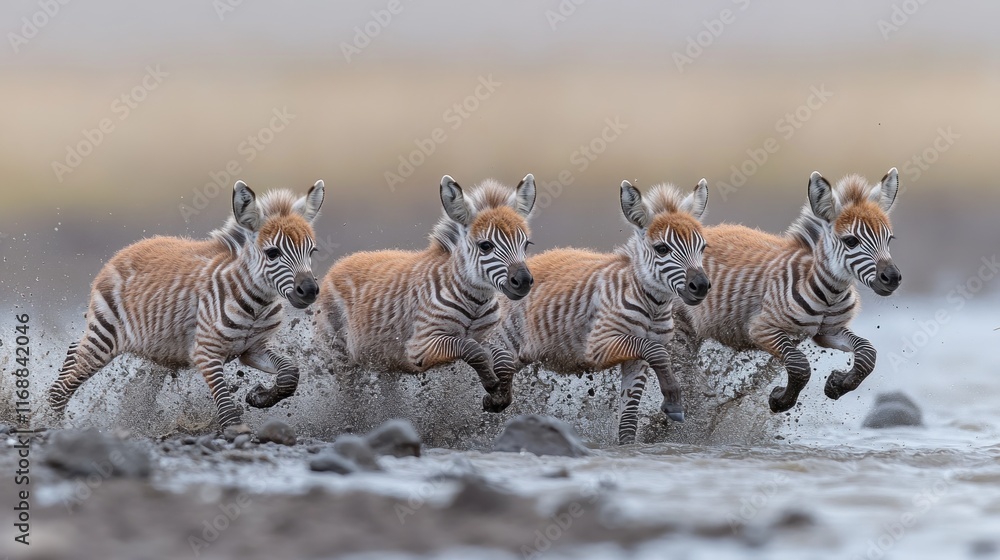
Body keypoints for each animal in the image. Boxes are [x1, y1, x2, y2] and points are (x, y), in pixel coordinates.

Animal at [49, 180, 326, 437]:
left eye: (312, 251)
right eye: (272, 253)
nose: (310, 290)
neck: (256, 306)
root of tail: (127, 250)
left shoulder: (254, 348)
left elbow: (290, 373)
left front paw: (259, 396)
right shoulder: (205, 352)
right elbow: (226, 405)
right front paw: (237, 431)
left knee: (73, 351)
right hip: (105, 337)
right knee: (70, 377)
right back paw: (50, 421)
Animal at [316, 174, 535, 409]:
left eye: (526, 244)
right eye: (485, 246)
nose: (523, 281)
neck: (475, 302)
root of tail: (340, 262)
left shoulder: (485, 337)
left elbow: (503, 359)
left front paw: (499, 397)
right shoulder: (418, 347)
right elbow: (471, 349)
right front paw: (491, 385)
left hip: (385, 361)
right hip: (341, 355)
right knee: (349, 397)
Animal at [487, 179, 711, 444]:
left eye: (702, 247)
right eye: (662, 249)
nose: (702, 286)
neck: (653, 306)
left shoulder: (637, 360)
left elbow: (630, 415)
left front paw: (628, 445)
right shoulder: (598, 346)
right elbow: (656, 351)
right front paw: (674, 401)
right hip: (505, 342)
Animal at [672, 168, 901, 414]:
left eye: (889, 239)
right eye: (851, 241)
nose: (893, 279)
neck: (829, 293)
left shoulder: (828, 332)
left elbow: (867, 353)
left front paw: (837, 384)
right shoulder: (761, 329)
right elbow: (799, 364)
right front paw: (780, 400)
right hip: (679, 325)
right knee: (680, 369)